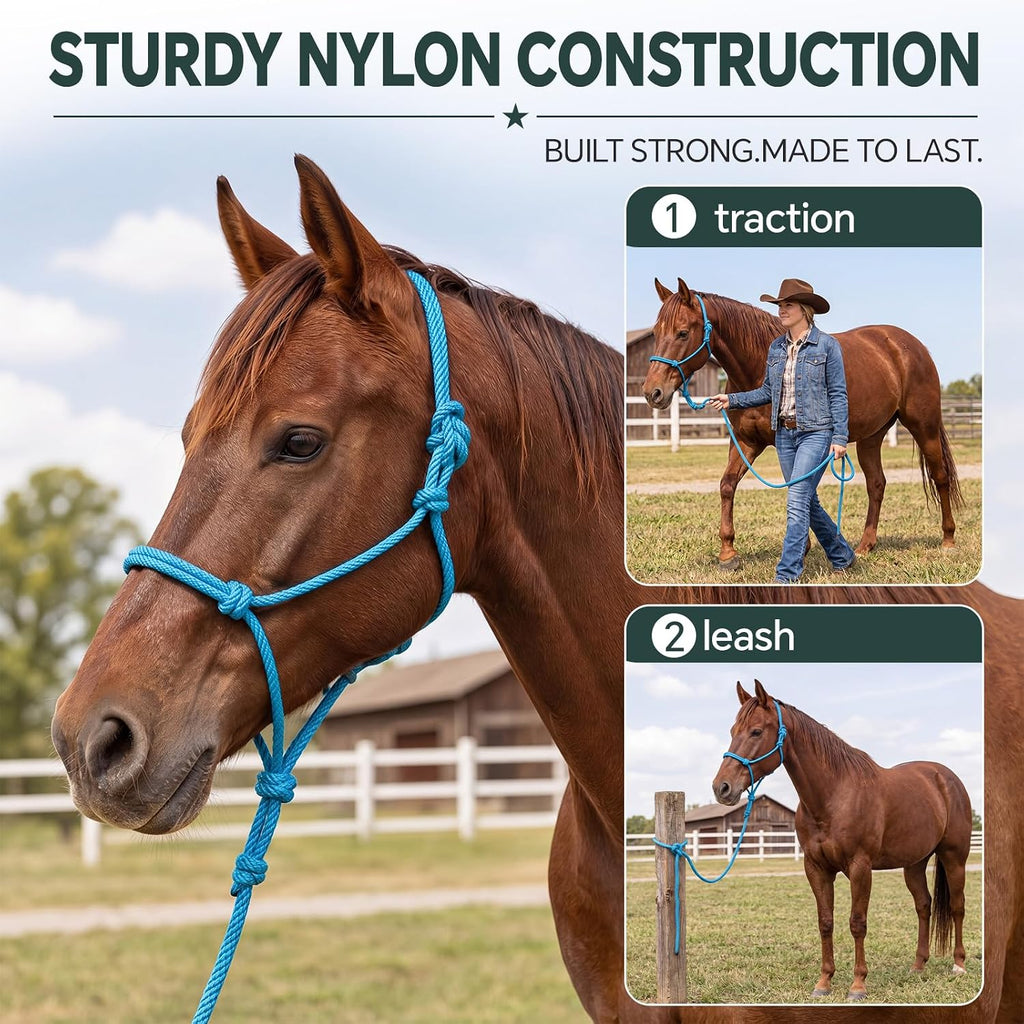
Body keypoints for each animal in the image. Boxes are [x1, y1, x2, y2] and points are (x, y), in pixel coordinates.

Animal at [641, 278, 964, 569]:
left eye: (683, 332)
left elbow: (798, 488)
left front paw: (802, 547)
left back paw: (948, 540)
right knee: (876, 484)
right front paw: (728, 553)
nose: (652, 392)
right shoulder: (746, 442)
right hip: (872, 436)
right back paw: (864, 546)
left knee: (940, 476)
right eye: (657, 332)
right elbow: (728, 485)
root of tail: (909, 345)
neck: (758, 367)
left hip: (924, 426)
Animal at [713, 679, 973, 1002]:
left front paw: (858, 985)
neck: (834, 795)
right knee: (924, 905)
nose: (722, 788)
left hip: (954, 857)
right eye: (732, 731)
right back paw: (918, 966)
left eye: (756, 731)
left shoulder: (860, 868)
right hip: (914, 863)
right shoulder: (816, 868)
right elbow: (826, 922)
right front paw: (824, 982)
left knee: (958, 906)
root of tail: (945, 778)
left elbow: (857, 923)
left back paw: (959, 965)